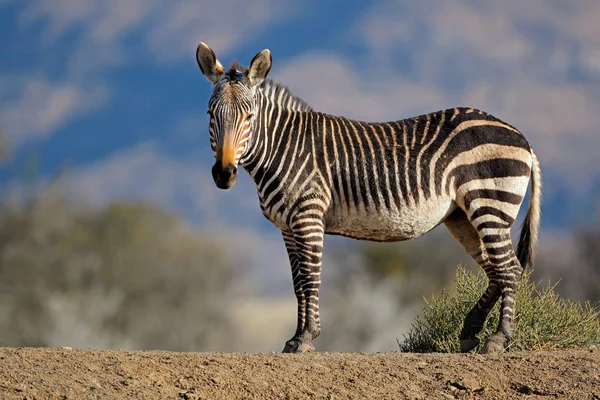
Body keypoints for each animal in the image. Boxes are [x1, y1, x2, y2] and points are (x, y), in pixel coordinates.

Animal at [195, 43, 540, 354]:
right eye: (211, 114)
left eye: (249, 116)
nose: (224, 174)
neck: (283, 147)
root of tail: (520, 136)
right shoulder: (288, 228)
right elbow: (296, 283)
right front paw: (294, 338)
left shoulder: (308, 218)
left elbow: (309, 277)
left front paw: (306, 338)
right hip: (462, 217)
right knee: (496, 270)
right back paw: (470, 332)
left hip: (490, 205)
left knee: (509, 268)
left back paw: (498, 339)